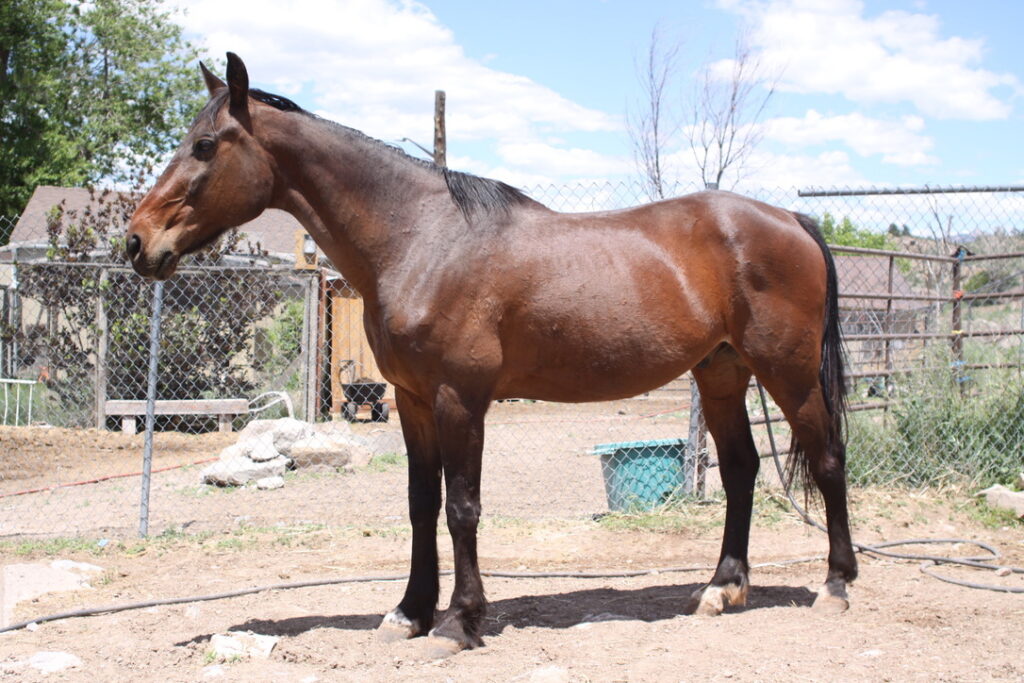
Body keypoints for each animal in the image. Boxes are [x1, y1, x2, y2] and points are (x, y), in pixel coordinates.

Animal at [126, 53, 856, 652]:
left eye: (204, 145)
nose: (137, 241)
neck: (422, 238)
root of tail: (790, 219)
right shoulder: (414, 401)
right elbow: (422, 504)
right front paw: (408, 612)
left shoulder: (460, 399)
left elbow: (462, 507)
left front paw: (458, 621)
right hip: (722, 373)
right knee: (741, 469)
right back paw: (721, 589)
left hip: (787, 374)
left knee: (826, 459)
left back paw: (836, 584)